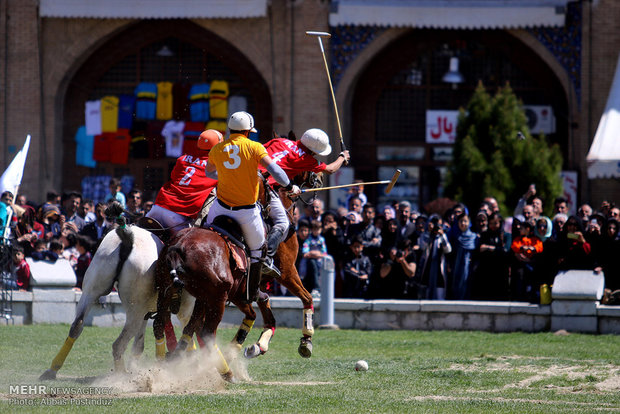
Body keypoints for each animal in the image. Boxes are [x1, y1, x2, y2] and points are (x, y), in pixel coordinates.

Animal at [40, 222, 193, 380]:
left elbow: (140, 343)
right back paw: (121, 377)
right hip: (135, 310)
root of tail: (128, 239)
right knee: (119, 344)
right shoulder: (184, 307)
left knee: (77, 325)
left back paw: (52, 369)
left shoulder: (151, 312)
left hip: (91, 291)